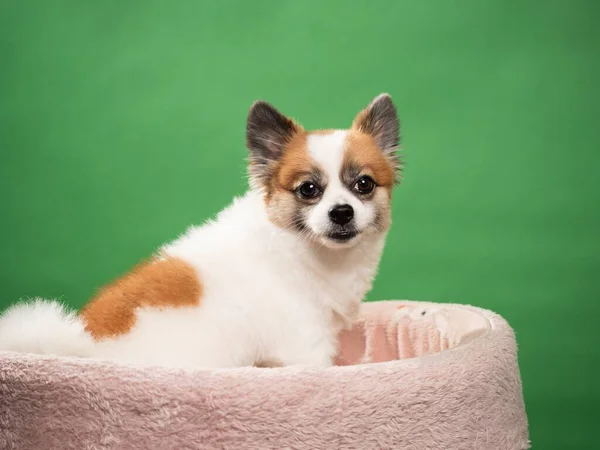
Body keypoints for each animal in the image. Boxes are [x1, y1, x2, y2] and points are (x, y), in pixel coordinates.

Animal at [2, 92, 404, 370]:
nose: (341, 212)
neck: (301, 250)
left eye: (364, 185)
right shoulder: (304, 343)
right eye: (308, 189)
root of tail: (82, 344)